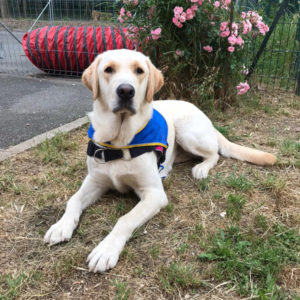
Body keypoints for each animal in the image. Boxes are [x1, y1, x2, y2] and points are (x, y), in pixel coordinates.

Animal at [43, 48, 276, 272]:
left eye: (139, 70)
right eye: (108, 69)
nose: (126, 91)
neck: (120, 142)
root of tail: (201, 113)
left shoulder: (154, 194)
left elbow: (125, 219)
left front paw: (106, 250)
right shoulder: (95, 181)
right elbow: (73, 200)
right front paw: (61, 226)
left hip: (187, 132)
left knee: (215, 153)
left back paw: (201, 168)